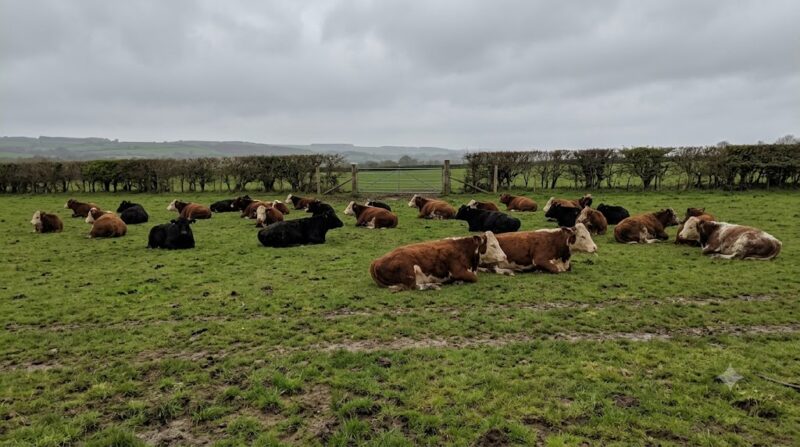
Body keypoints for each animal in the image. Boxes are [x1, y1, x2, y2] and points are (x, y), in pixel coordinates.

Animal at [369, 232, 507, 291]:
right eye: (493, 245)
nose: (505, 256)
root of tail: (376, 261)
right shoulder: (458, 271)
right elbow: (473, 278)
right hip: (409, 273)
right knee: (414, 286)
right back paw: (433, 285)